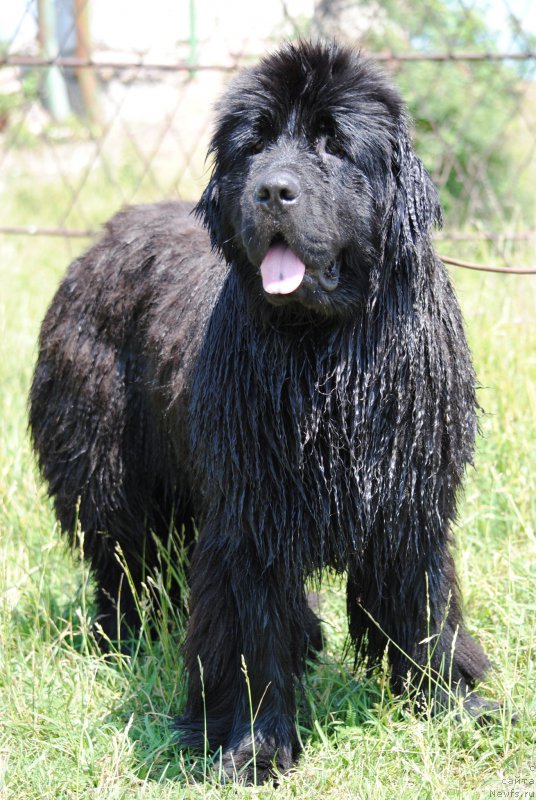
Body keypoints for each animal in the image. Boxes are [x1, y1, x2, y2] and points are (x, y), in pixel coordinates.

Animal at [31, 39, 496, 780]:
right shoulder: (252, 519)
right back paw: (120, 638)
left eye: (333, 143)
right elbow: (251, 634)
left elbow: (426, 607)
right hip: (102, 462)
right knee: (120, 558)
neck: (324, 352)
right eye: (254, 145)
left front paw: (451, 704)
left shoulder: (408, 504)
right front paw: (252, 746)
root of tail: (102, 237)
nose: (274, 189)